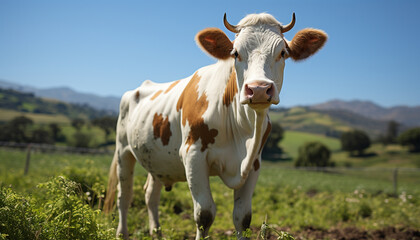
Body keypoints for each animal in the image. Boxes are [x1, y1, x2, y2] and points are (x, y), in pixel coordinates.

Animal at [103, 13, 326, 240]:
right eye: (235, 53)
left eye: (283, 53)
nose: (259, 89)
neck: (243, 132)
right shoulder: (193, 154)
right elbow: (205, 214)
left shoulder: (255, 162)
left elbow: (243, 217)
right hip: (123, 151)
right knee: (124, 196)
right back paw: (121, 233)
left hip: (156, 159)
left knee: (150, 194)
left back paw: (156, 233)